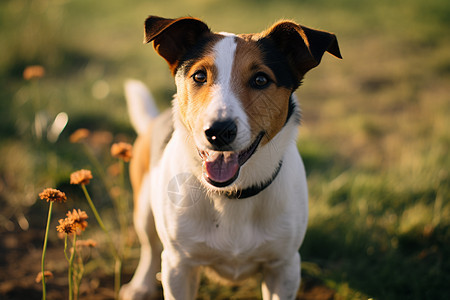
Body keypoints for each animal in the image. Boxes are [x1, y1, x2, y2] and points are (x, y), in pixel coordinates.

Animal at [119, 17, 342, 300]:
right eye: (199, 76)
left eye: (260, 79)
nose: (218, 131)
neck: (233, 194)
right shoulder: (179, 266)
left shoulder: (284, 266)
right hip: (145, 208)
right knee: (149, 246)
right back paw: (141, 284)